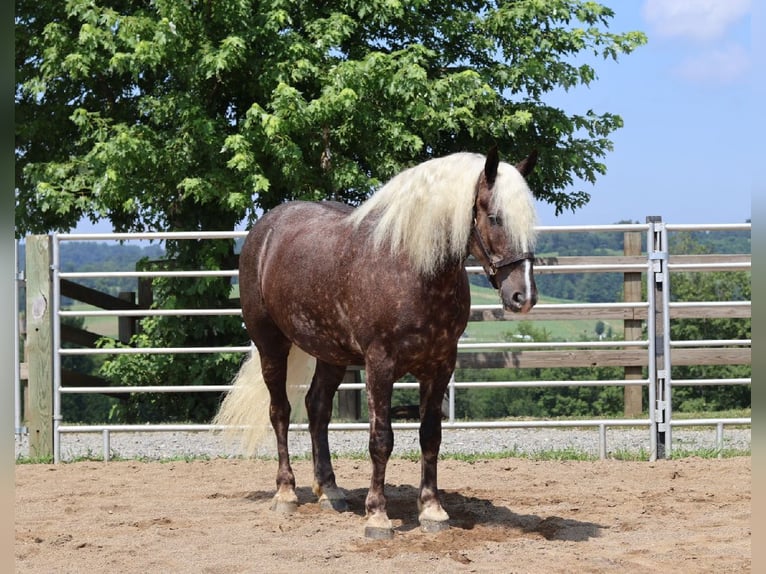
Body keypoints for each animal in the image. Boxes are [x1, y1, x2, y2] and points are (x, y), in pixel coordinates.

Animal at [215, 147, 539, 539]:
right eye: (494, 217)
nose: (523, 296)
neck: (412, 268)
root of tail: (264, 232)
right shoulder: (380, 365)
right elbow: (381, 440)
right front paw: (378, 516)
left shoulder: (440, 365)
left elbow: (430, 436)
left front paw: (432, 511)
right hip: (271, 345)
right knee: (280, 412)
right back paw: (286, 493)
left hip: (332, 354)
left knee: (317, 409)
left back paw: (330, 491)